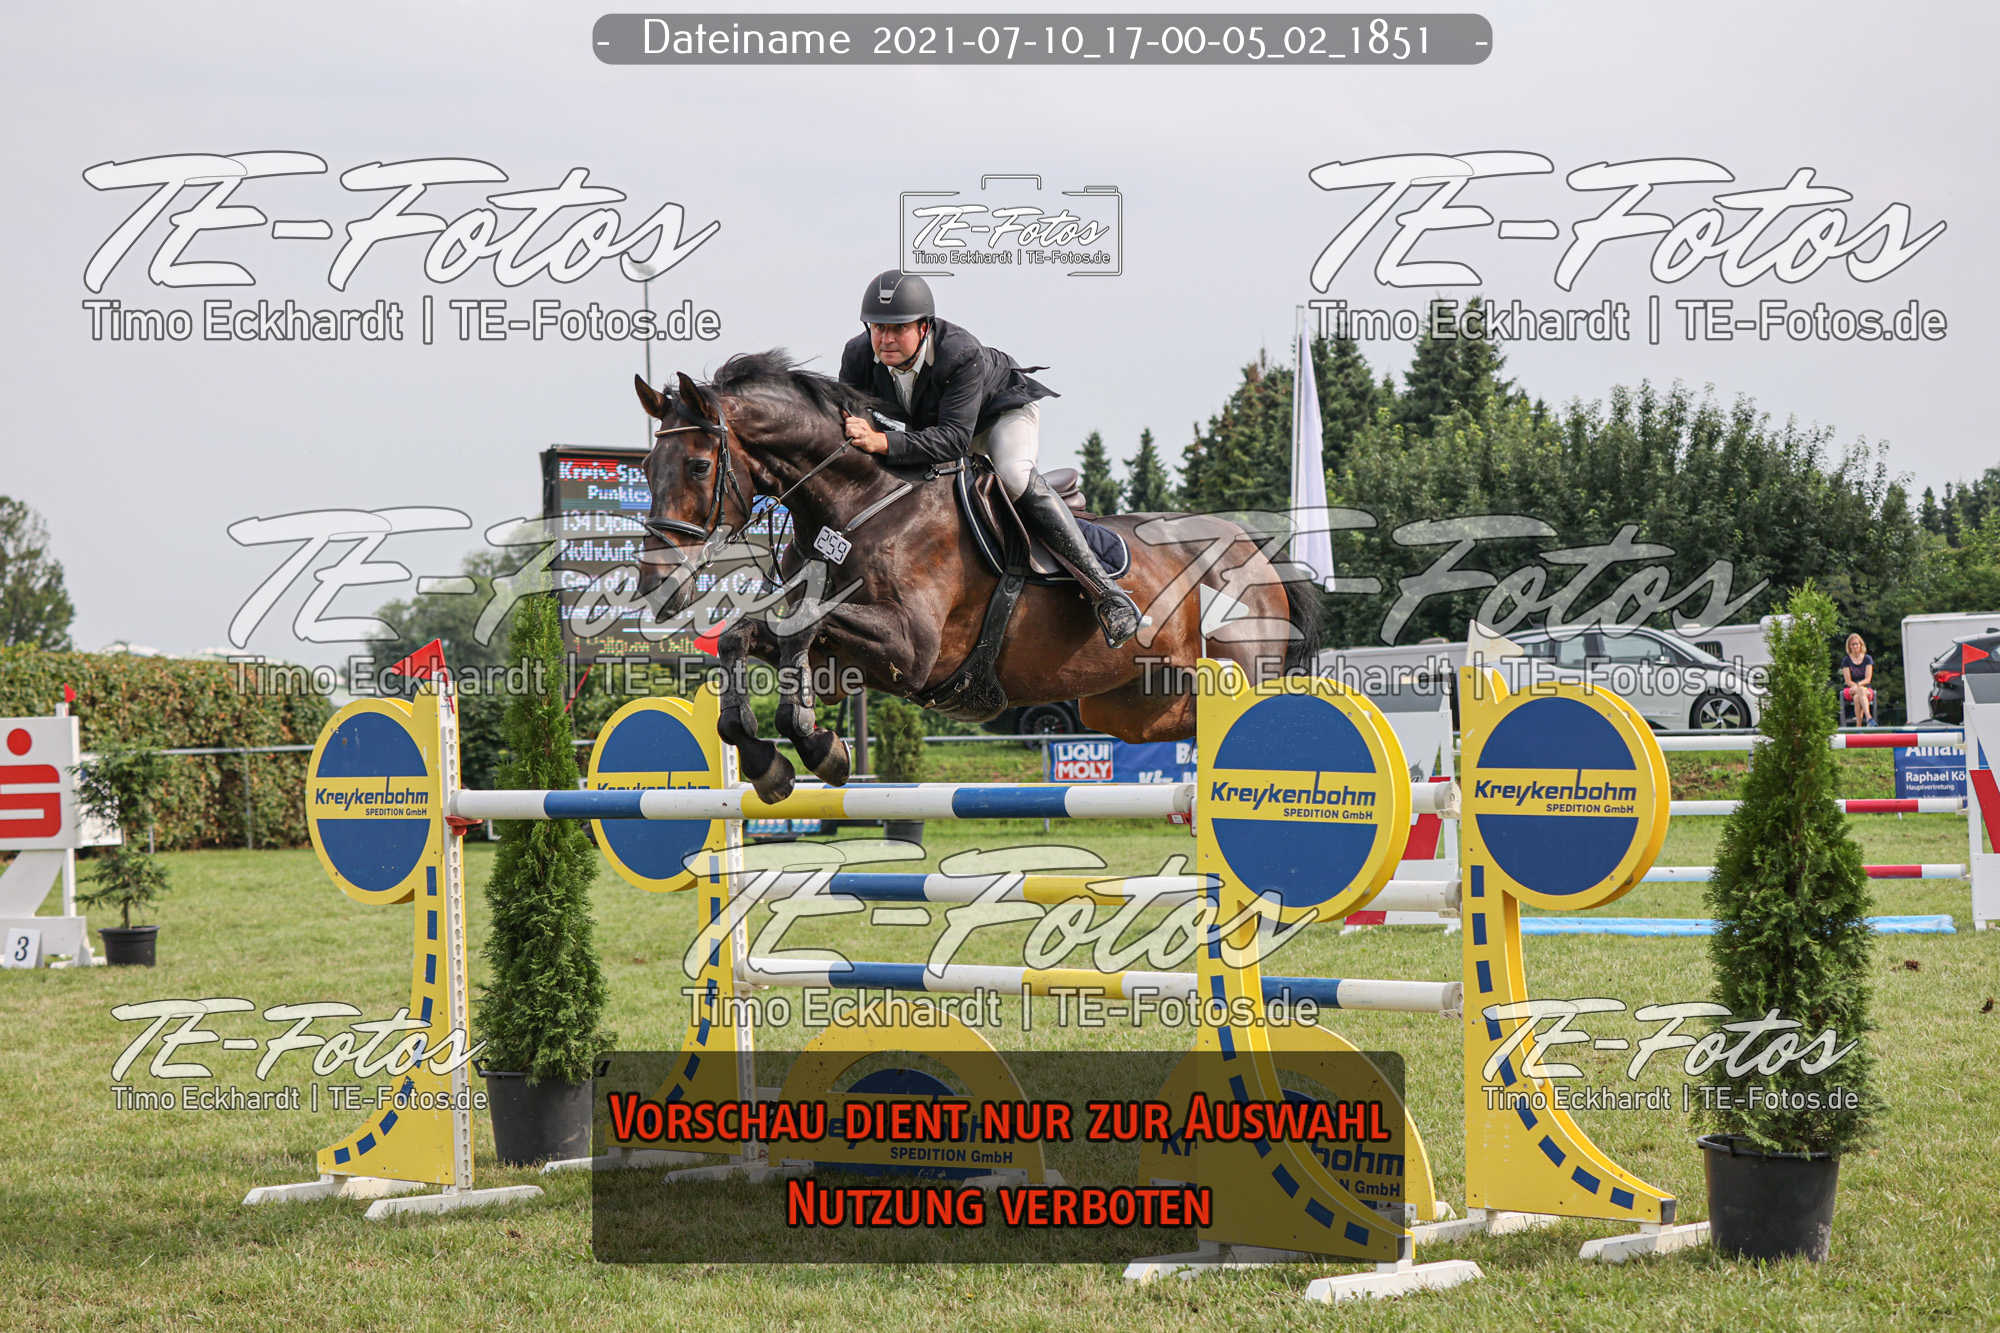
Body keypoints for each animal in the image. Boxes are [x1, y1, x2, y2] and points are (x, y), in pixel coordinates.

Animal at [631, 353, 1320, 802]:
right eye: (643, 465)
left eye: (698, 466)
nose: (653, 583)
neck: (859, 501)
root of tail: (1259, 554)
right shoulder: (847, 653)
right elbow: (748, 635)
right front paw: (769, 758)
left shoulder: (912, 648)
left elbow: (795, 626)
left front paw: (816, 743)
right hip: (1130, 706)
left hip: (1234, 667)